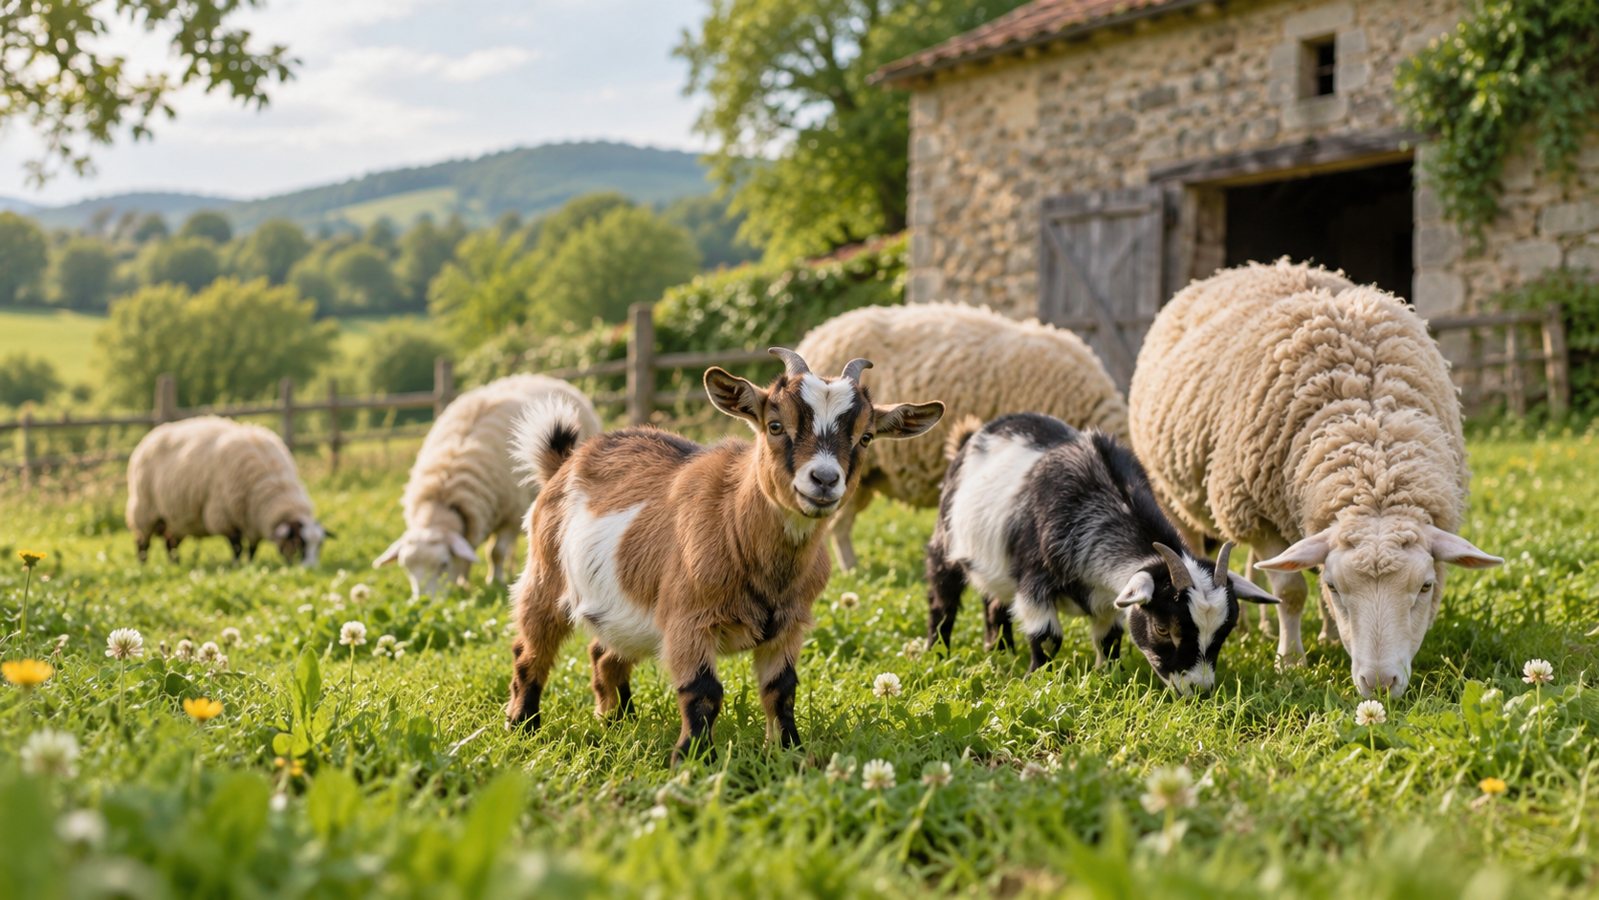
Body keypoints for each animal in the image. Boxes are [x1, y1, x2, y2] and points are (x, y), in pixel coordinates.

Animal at [126, 415, 328, 566]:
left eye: (319, 546)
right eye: (298, 542)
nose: (311, 569)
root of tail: (150, 436)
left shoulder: (252, 520)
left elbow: (252, 548)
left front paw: (250, 564)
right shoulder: (224, 516)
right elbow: (237, 546)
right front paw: (237, 566)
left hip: (174, 519)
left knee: (170, 543)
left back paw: (175, 564)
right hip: (144, 511)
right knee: (142, 543)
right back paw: (143, 566)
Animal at [375, 374, 601, 599]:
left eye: (443, 564)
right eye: (406, 567)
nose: (423, 602)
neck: (445, 495)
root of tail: (541, 377)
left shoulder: (512, 516)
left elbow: (496, 552)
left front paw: (494, 581)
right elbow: (468, 555)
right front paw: (464, 583)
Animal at [505, 348, 943, 763]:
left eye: (865, 437)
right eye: (775, 425)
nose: (824, 479)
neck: (736, 524)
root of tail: (565, 462)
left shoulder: (789, 624)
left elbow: (781, 690)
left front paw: (789, 750)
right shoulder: (688, 619)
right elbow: (703, 691)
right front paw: (693, 759)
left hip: (622, 609)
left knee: (604, 654)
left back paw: (618, 719)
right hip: (545, 575)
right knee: (531, 650)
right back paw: (523, 725)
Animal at [928, 414, 1278, 693]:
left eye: (1225, 630)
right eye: (1163, 629)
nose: (1199, 689)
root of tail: (974, 435)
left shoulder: (1109, 594)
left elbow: (1109, 638)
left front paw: (1107, 675)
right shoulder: (1034, 581)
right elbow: (1047, 637)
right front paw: (1036, 678)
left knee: (994, 603)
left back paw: (999, 651)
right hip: (945, 542)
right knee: (942, 600)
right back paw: (937, 653)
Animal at [1128, 260, 1502, 698]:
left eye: (1426, 586)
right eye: (1337, 586)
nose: (1379, 684)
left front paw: (1327, 637)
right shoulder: (1259, 515)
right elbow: (1290, 593)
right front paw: (1290, 661)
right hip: (1177, 496)